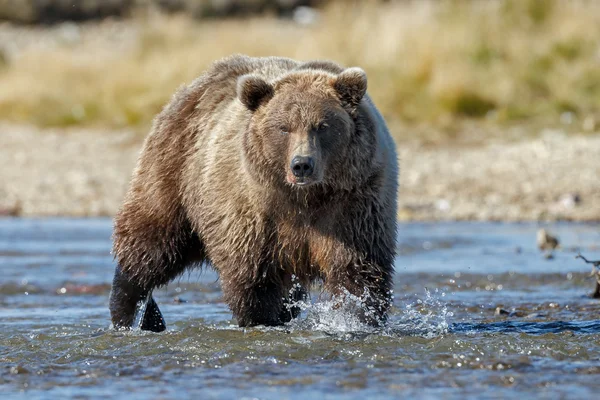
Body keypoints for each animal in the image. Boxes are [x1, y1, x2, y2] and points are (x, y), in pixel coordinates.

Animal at [109, 54, 398, 332]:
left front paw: (356, 317)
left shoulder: (353, 205)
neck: (304, 198)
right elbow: (253, 278)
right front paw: (262, 318)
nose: (302, 164)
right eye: (284, 127)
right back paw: (130, 311)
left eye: (323, 126)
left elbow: (357, 272)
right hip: (176, 169)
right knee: (152, 239)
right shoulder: (253, 214)